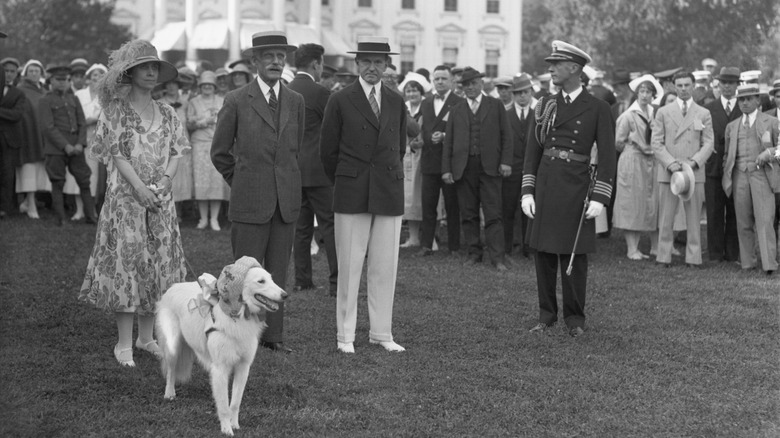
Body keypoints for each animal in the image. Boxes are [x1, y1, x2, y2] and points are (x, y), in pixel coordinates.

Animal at [155, 256, 286, 434]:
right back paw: (169, 394)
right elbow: (223, 405)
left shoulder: (243, 367)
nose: (285, 295)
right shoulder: (220, 369)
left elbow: (235, 402)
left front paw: (234, 424)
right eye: (261, 281)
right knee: (170, 371)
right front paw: (226, 430)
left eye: (271, 279)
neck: (237, 315)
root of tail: (173, 287)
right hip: (173, 346)